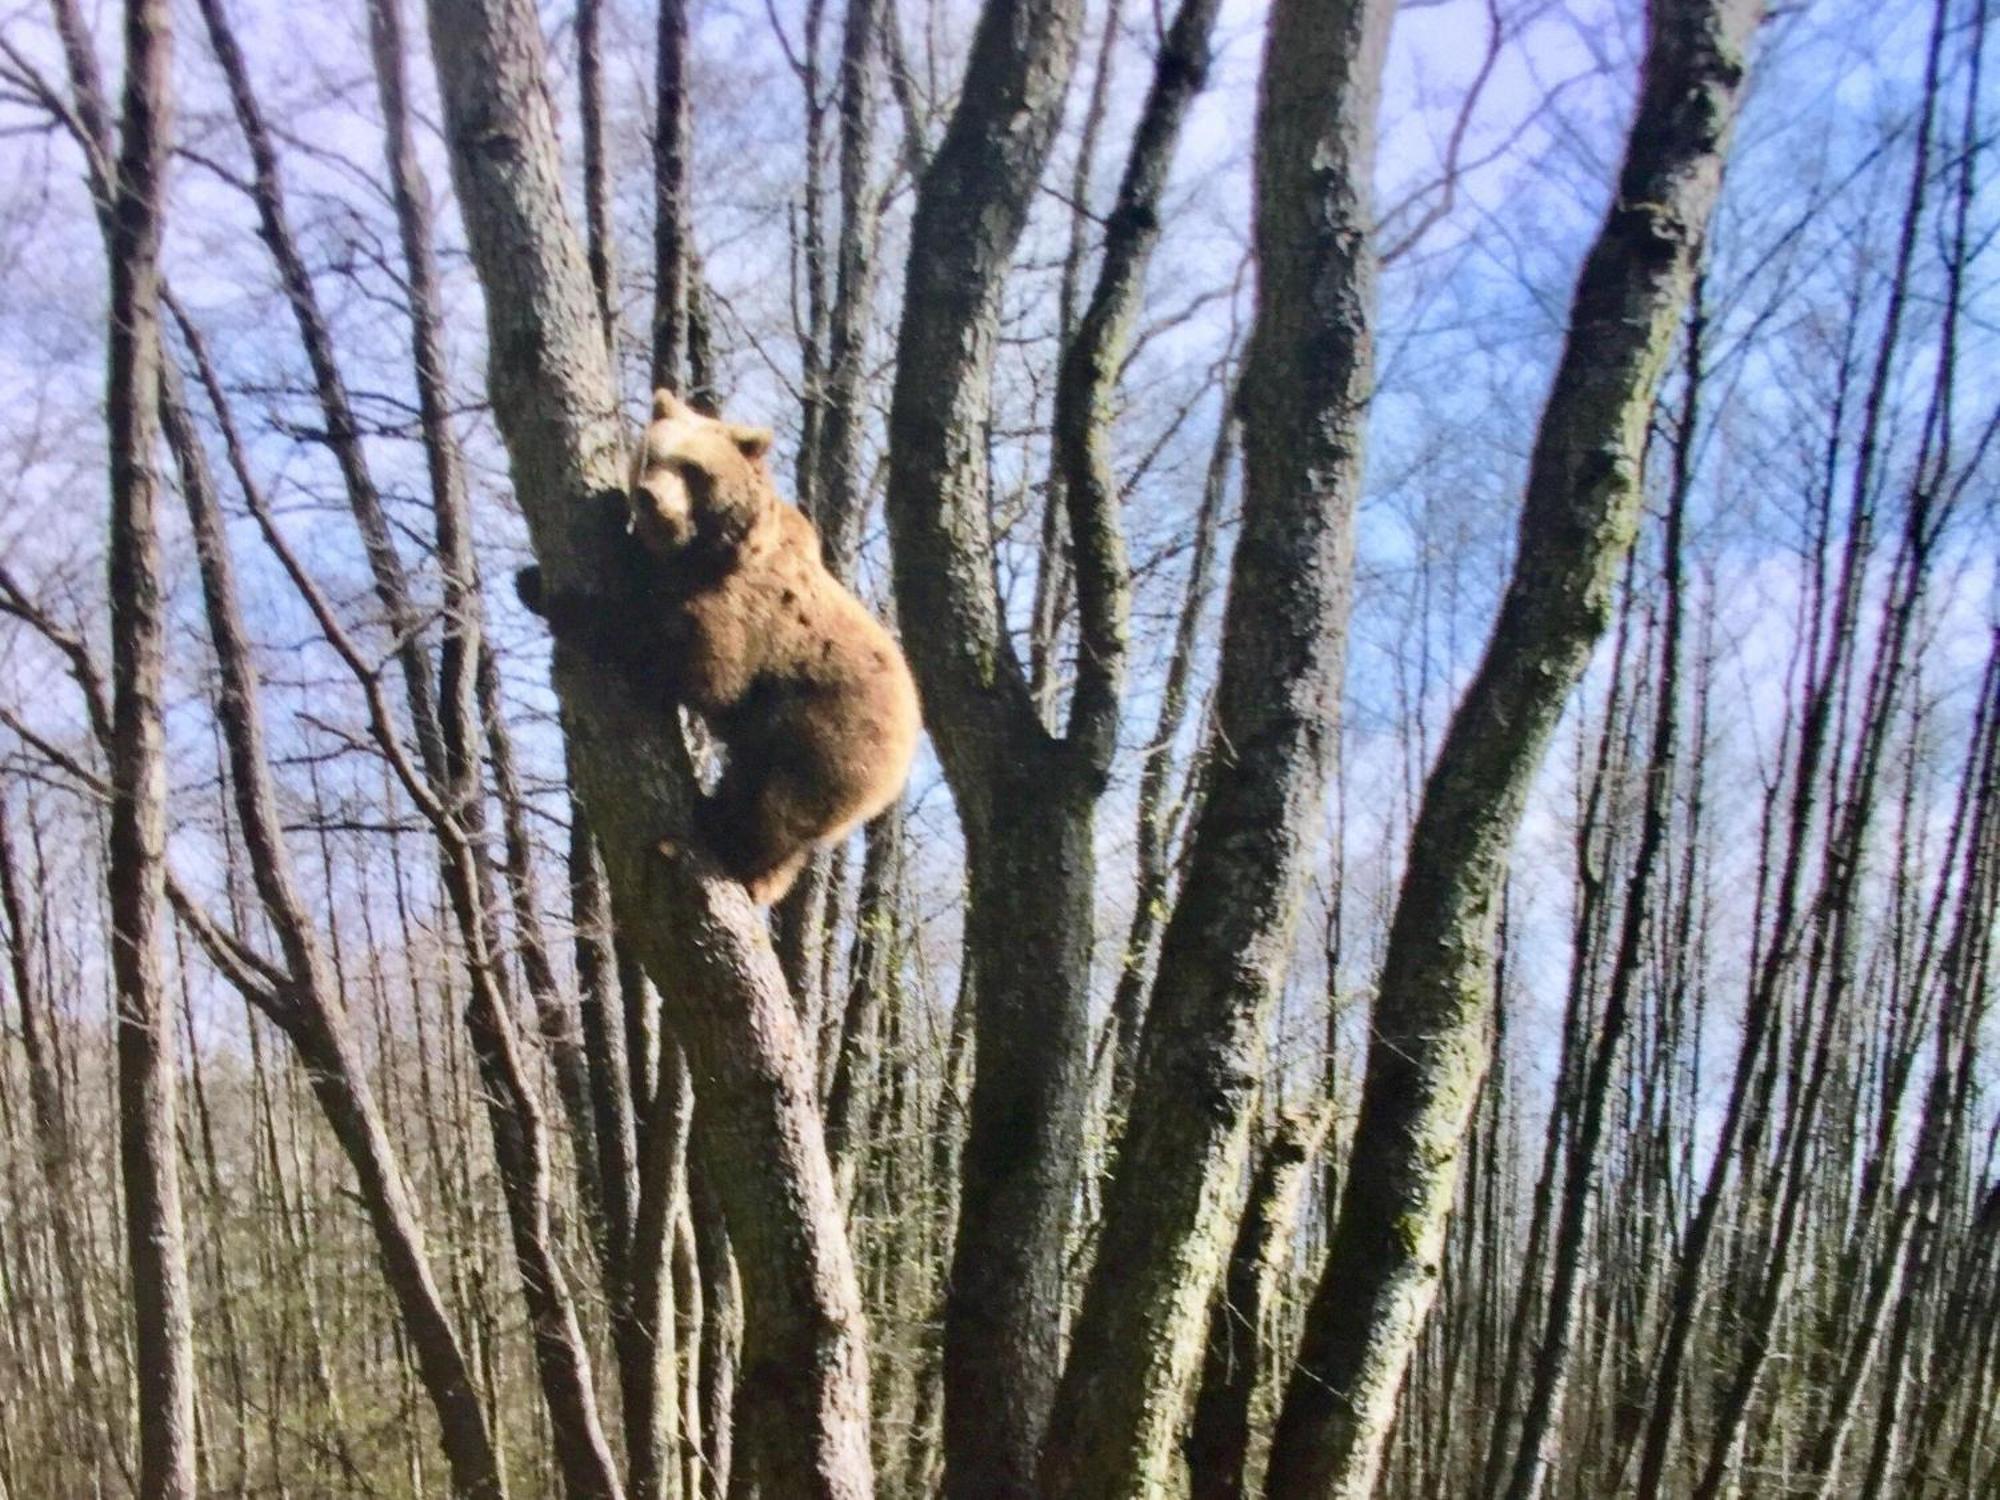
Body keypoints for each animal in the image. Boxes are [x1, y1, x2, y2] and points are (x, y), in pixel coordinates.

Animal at [516, 390, 920, 904]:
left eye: (691, 468)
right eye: (652, 455)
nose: (649, 497)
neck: (708, 550)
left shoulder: (745, 610)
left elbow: (695, 663)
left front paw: (569, 604)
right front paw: (532, 579)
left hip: (828, 735)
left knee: (778, 806)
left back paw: (726, 840)